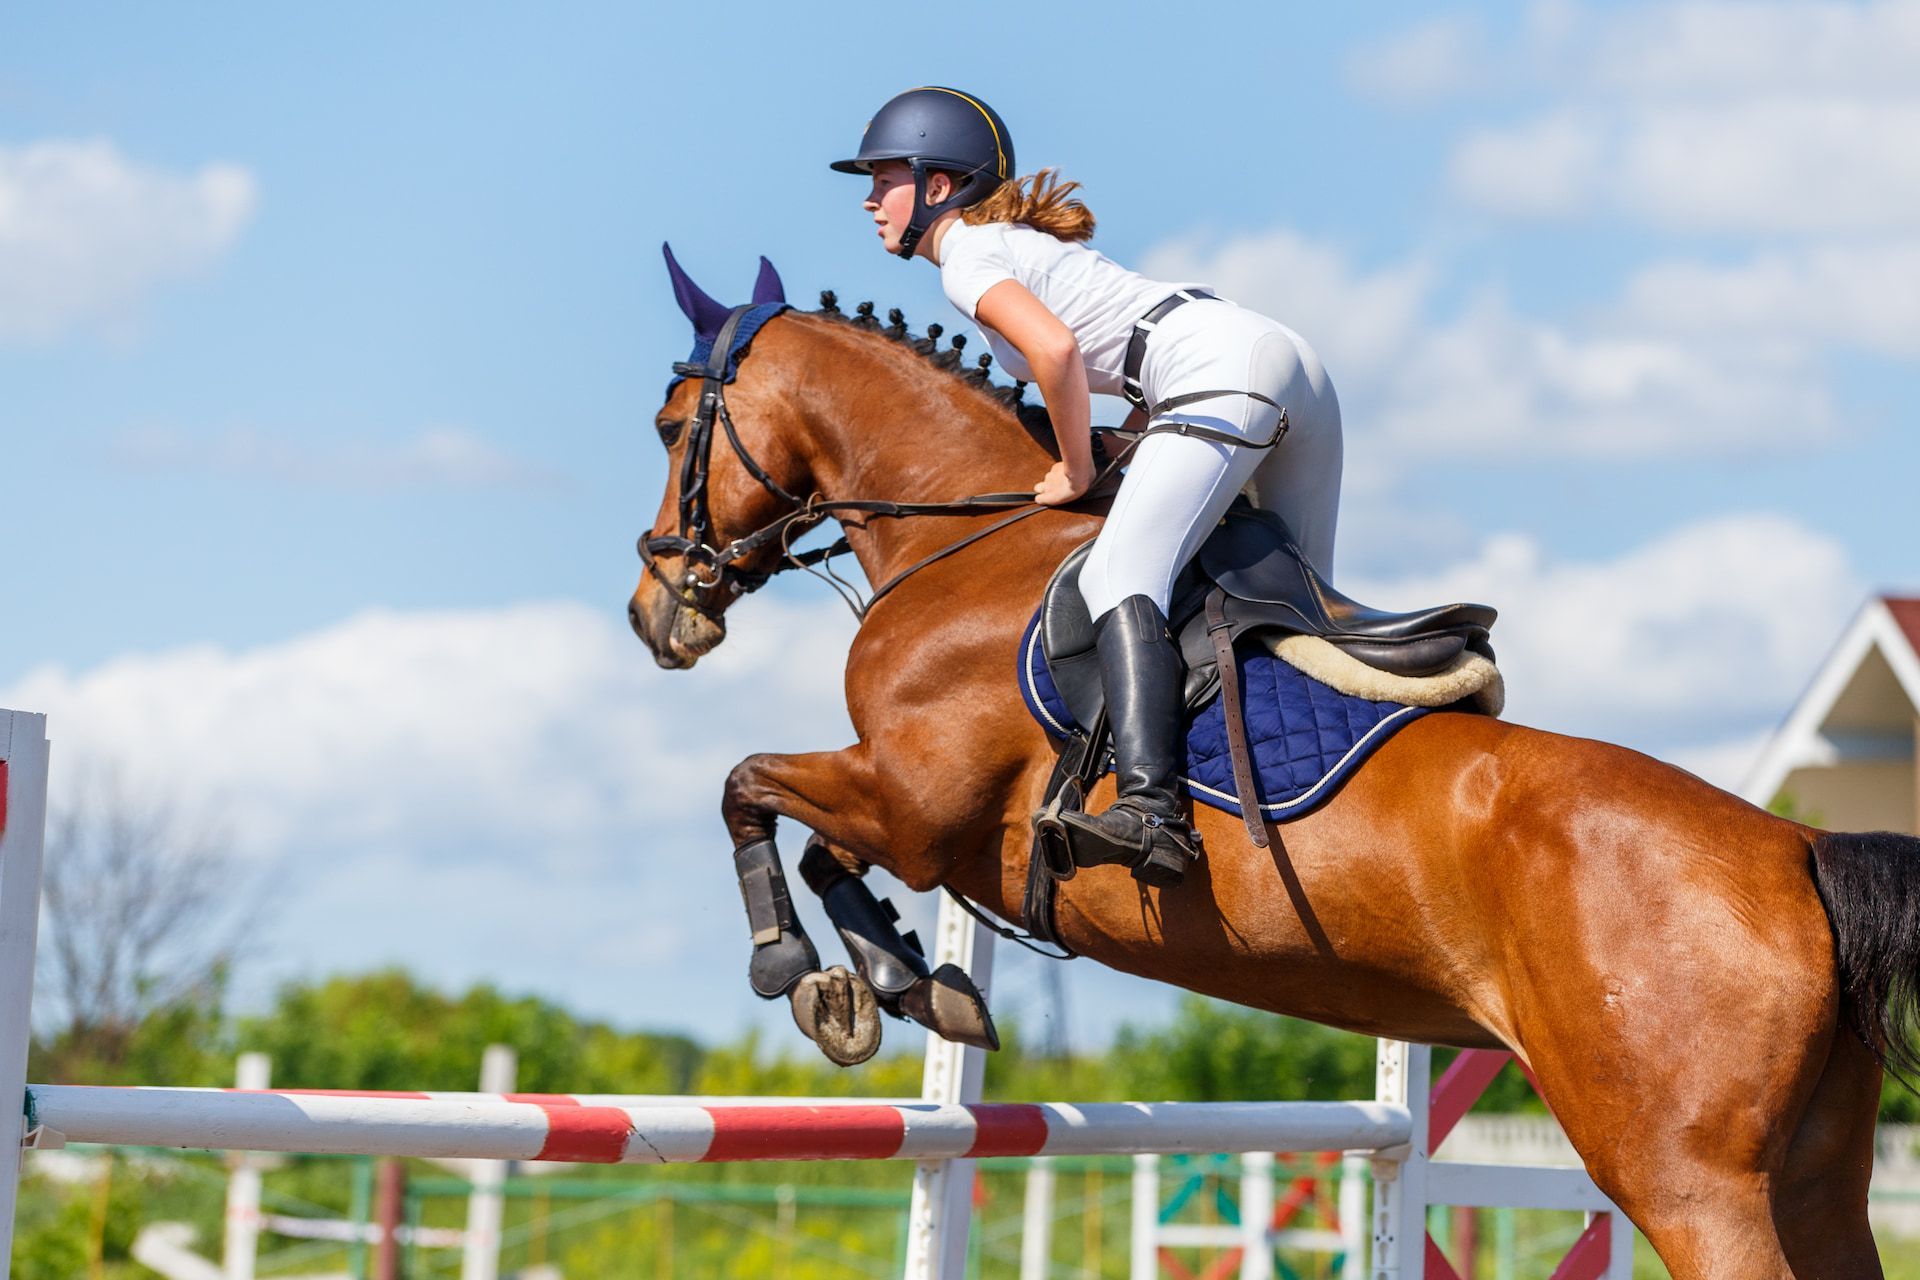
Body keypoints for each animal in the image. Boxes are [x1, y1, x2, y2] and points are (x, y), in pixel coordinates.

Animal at [626, 255, 1920, 1278]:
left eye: (671, 427)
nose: (657, 610)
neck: (970, 537)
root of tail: (1800, 848)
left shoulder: (915, 801)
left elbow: (750, 786)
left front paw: (804, 970)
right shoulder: (913, 815)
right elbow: (817, 841)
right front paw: (899, 983)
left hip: (1684, 1179)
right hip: (1814, 1182)